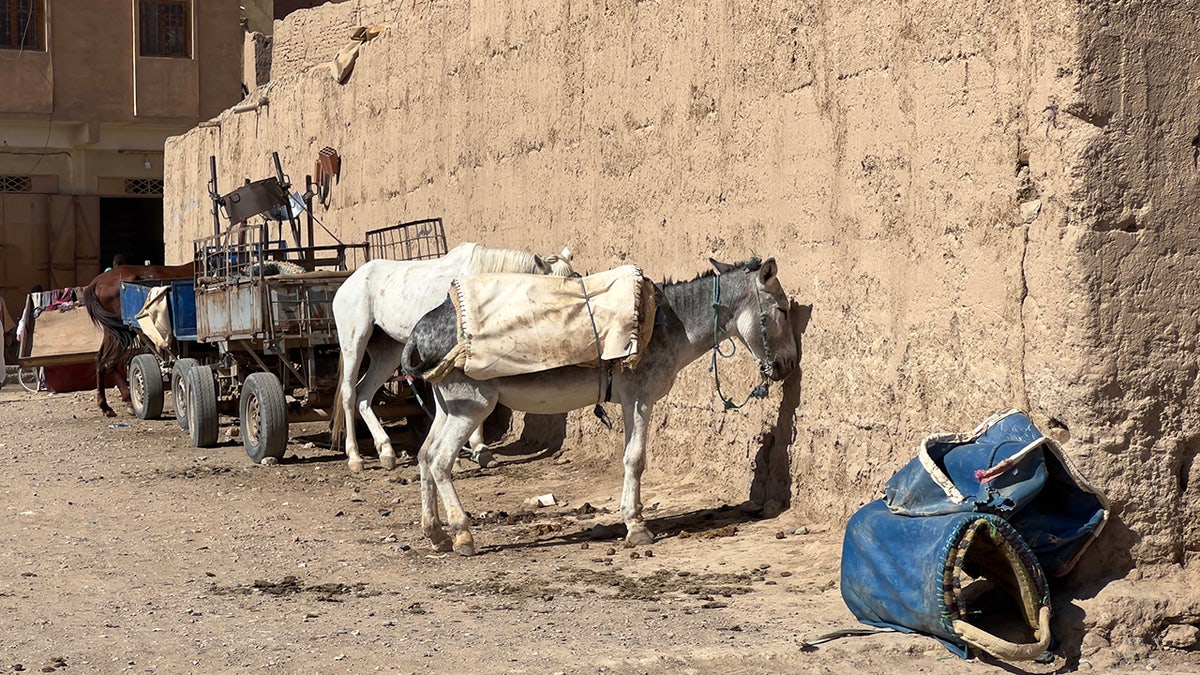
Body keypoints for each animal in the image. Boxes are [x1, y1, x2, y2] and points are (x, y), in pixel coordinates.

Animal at [81, 263, 193, 415]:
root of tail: (96, 282)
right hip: (122, 331)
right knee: (108, 362)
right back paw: (127, 400)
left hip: (112, 332)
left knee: (100, 360)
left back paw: (105, 404)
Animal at [328, 239, 571, 470]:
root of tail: (347, 284)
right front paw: (475, 451)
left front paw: (480, 452)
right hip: (354, 342)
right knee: (349, 394)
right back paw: (355, 457)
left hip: (387, 351)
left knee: (364, 394)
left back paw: (386, 452)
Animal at [398, 254, 801, 554]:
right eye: (782, 310)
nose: (788, 366)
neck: (669, 321)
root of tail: (420, 330)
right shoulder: (640, 397)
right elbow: (635, 459)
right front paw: (637, 527)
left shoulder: (628, 400)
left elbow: (630, 457)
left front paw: (632, 519)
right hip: (472, 405)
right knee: (441, 460)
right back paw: (462, 534)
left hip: (448, 406)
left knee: (424, 454)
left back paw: (435, 534)